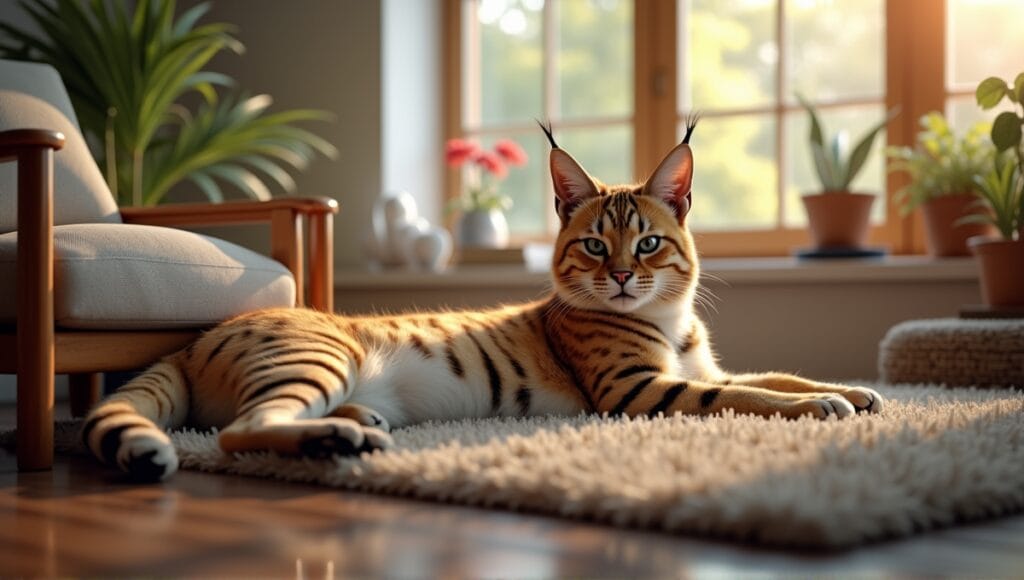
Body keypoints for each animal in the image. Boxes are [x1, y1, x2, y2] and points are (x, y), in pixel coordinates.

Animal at [83, 120, 884, 483]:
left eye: (649, 243)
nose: (625, 276)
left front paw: (855, 391)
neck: (668, 319)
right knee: (237, 431)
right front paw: (821, 407)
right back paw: (340, 440)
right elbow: (748, 397)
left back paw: (359, 423)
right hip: (320, 355)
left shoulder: (704, 367)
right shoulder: (636, 391)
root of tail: (191, 340)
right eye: (595, 247)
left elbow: (772, 375)